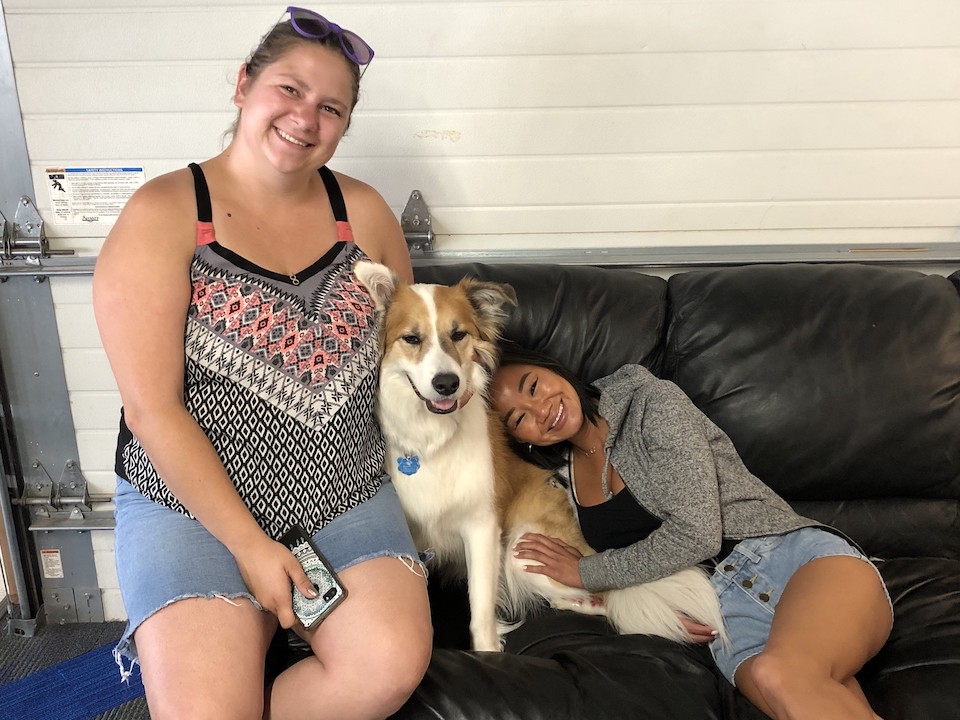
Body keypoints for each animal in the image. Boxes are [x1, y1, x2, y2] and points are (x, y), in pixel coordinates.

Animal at [356, 260, 724, 652]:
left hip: (520, 548)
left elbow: (481, 614)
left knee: (606, 599)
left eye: (458, 335)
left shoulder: (482, 529)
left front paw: (489, 652)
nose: (447, 384)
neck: (432, 438)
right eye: (412, 339)